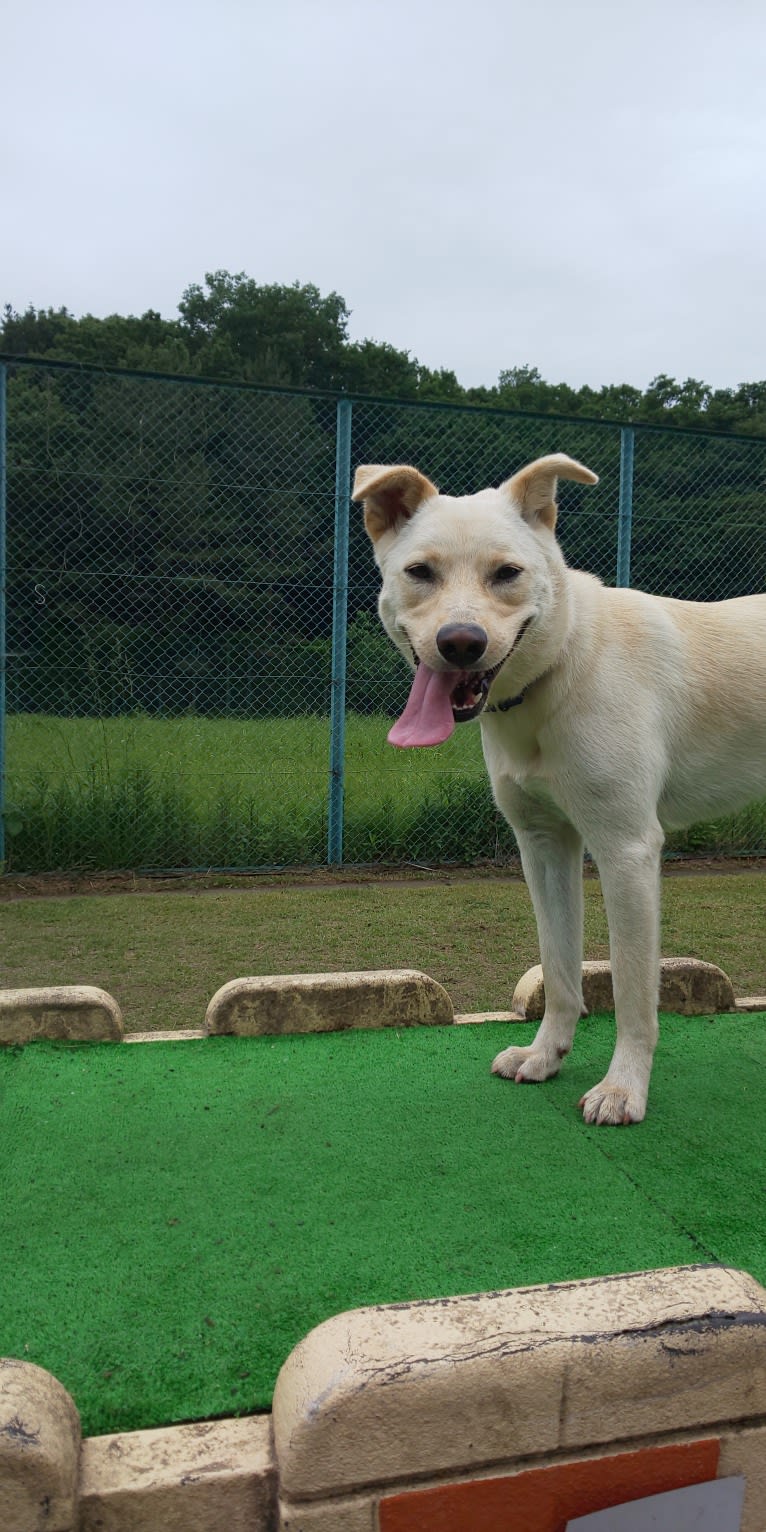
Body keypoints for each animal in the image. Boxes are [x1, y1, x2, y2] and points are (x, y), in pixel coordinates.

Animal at [355, 453, 766, 1127]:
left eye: (507, 574)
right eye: (420, 572)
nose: (460, 642)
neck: (565, 661)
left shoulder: (627, 849)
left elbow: (631, 990)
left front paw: (623, 1089)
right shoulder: (545, 847)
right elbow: (560, 968)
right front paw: (546, 1055)